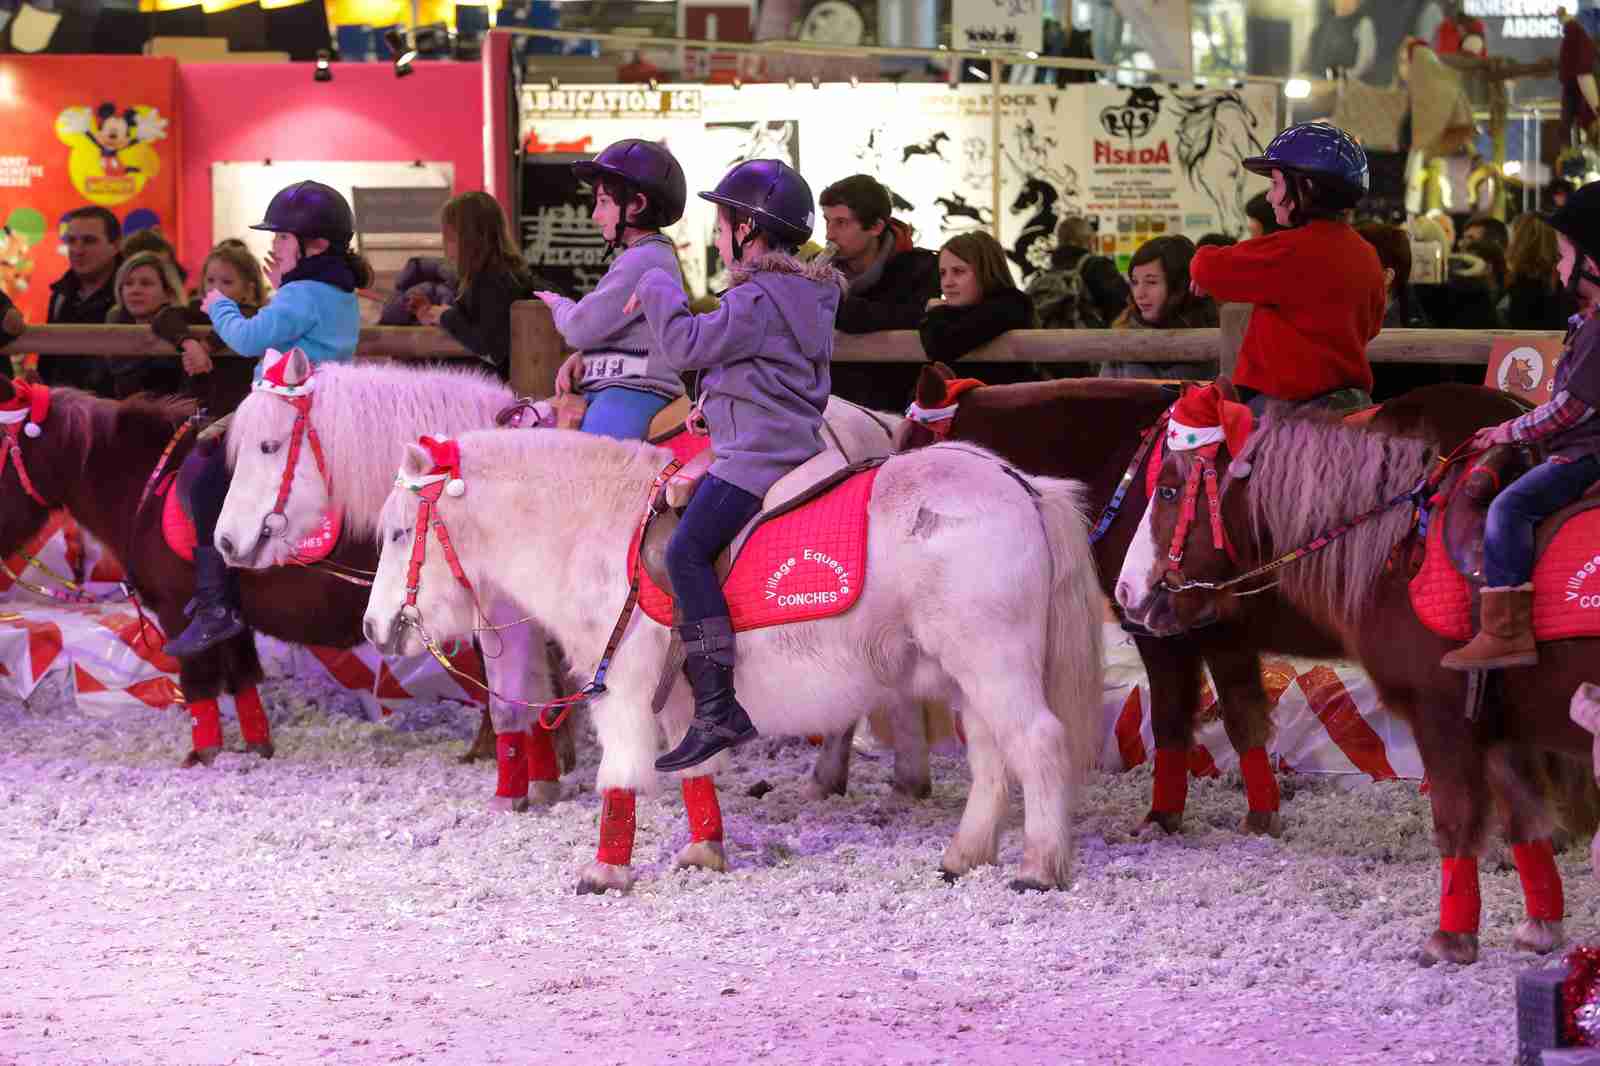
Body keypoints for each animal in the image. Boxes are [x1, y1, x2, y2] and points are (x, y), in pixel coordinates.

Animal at [366, 428, 1107, 889]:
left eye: (402, 533)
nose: (375, 629)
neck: (597, 527)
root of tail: (1021, 484)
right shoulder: (683, 705)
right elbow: (699, 772)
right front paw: (702, 851)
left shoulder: (623, 692)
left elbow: (619, 778)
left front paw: (605, 873)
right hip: (966, 679)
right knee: (991, 760)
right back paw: (963, 856)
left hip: (993, 665)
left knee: (1040, 744)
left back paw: (1039, 869)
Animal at [876, 361, 1523, 845]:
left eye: (906, 450)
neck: (1124, 465)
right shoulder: (1218, 633)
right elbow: (1240, 718)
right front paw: (1259, 813)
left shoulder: (1172, 630)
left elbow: (1181, 719)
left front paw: (1168, 814)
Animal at [1120, 388, 1593, 960]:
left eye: (1169, 489)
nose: (1126, 590)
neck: (1401, 551)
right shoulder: (1500, 730)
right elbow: (1525, 819)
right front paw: (1541, 924)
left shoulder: (1443, 719)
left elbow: (1455, 818)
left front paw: (1450, 937)